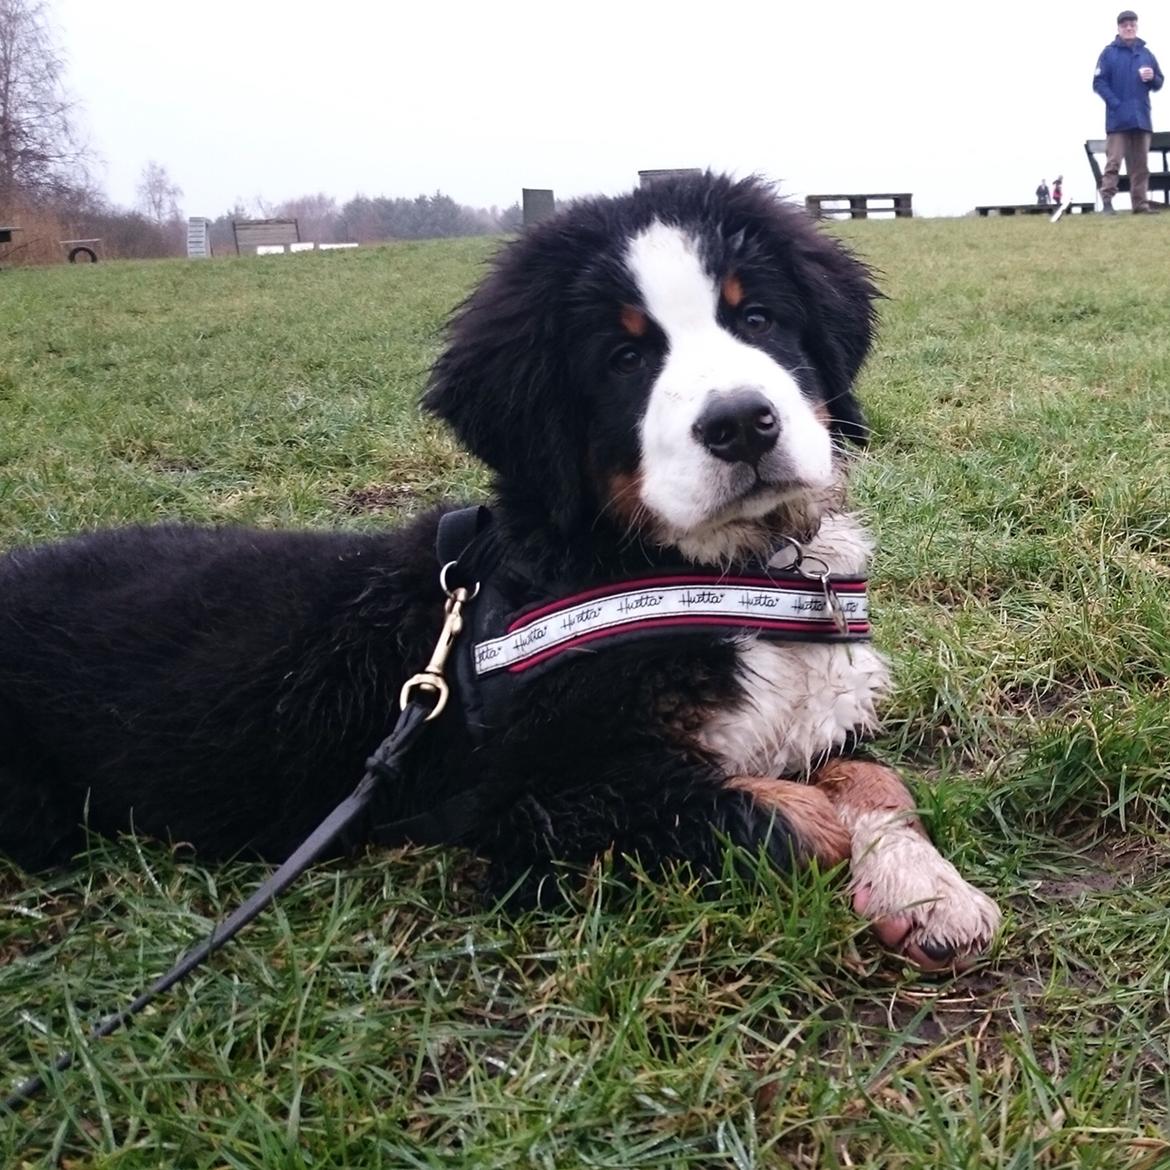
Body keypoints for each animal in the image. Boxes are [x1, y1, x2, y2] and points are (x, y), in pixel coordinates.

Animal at [0, 170, 1001, 968]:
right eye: (624, 356)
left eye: (757, 316)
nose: (740, 424)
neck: (717, 571)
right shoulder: (528, 799)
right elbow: (788, 813)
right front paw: (896, 878)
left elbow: (868, 780)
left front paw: (926, 893)